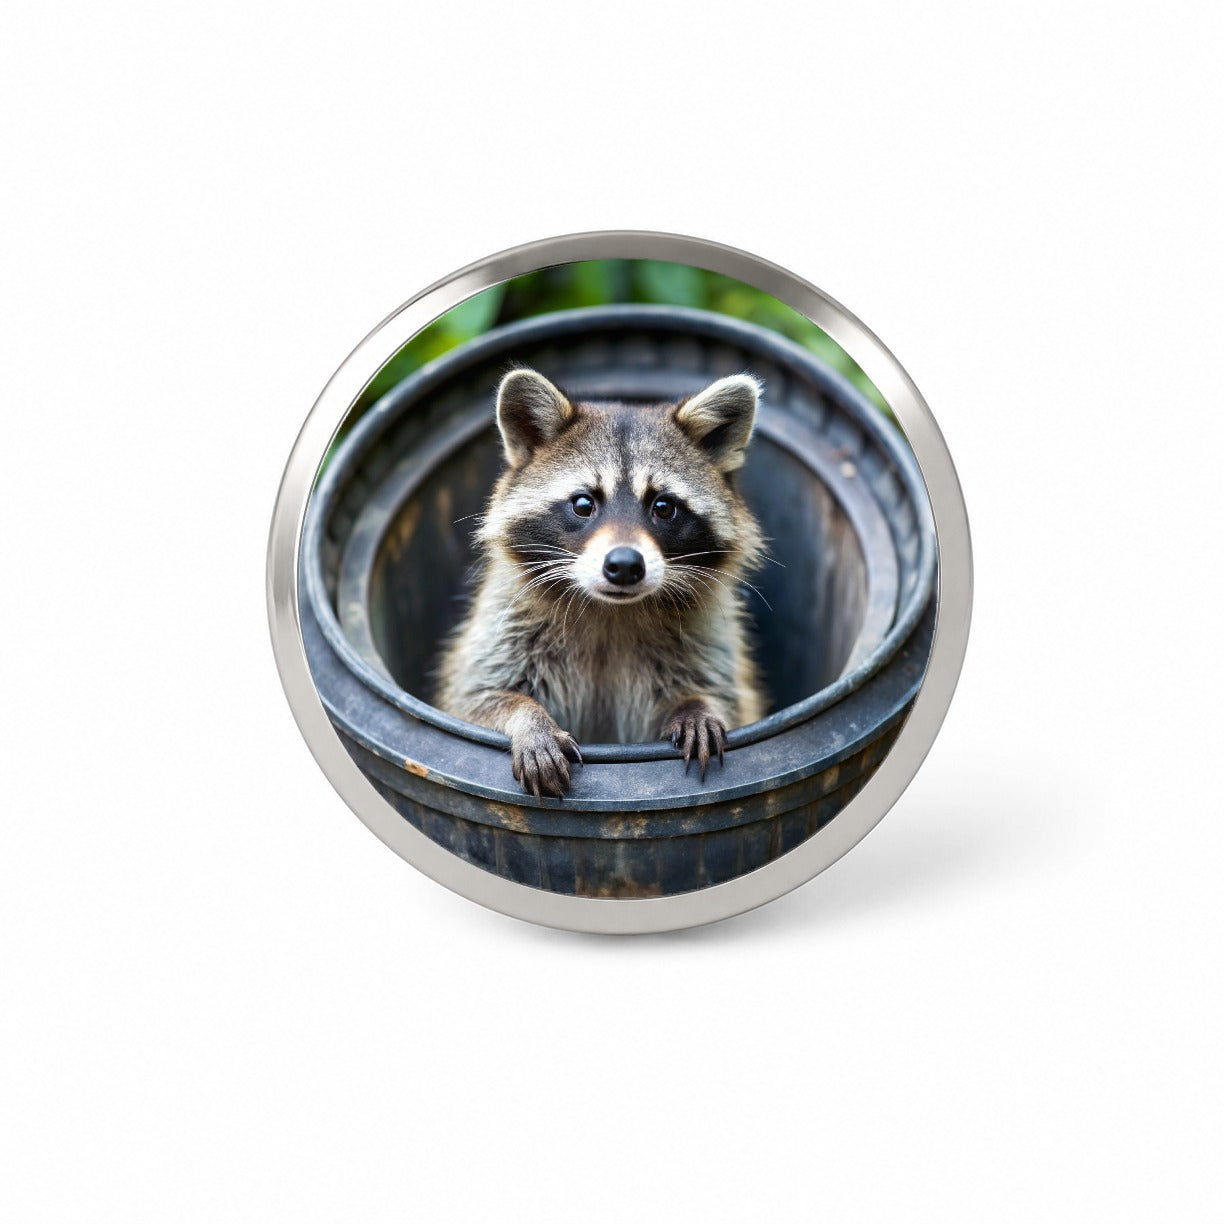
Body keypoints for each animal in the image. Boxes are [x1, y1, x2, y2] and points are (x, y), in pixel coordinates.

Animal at [434, 366, 767, 798]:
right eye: (583, 504)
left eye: (664, 507)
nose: (624, 565)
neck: (611, 610)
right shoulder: (504, 628)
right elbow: (474, 699)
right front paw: (528, 717)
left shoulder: (706, 641)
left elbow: (724, 697)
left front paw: (697, 706)